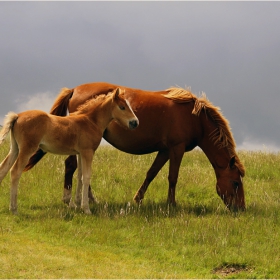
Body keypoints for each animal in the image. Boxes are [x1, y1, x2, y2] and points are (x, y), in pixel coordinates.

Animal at [0, 88, 139, 214]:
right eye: (122, 107)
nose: (135, 122)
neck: (90, 121)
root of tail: (18, 116)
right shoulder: (88, 152)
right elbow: (87, 177)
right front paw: (86, 209)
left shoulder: (80, 153)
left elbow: (80, 176)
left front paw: (77, 204)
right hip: (27, 149)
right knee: (15, 172)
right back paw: (14, 209)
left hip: (15, 148)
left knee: (3, 169)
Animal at [25, 82, 246, 211]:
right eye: (236, 183)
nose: (241, 208)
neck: (195, 117)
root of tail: (74, 90)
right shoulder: (177, 148)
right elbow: (173, 177)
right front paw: (171, 204)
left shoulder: (165, 150)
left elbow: (151, 173)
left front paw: (138, 199)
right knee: (71, 166)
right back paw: (72, 200)